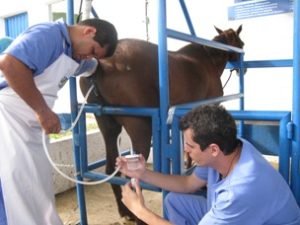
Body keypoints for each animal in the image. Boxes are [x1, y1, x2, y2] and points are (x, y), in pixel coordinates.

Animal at [79, 25, 244, 224]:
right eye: (240, 42)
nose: (242, 67)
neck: (208, 59)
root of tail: (102, 64)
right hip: (140, 128)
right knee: (133, 179)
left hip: (107, 126)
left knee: (112, 169)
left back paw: (125, 213)